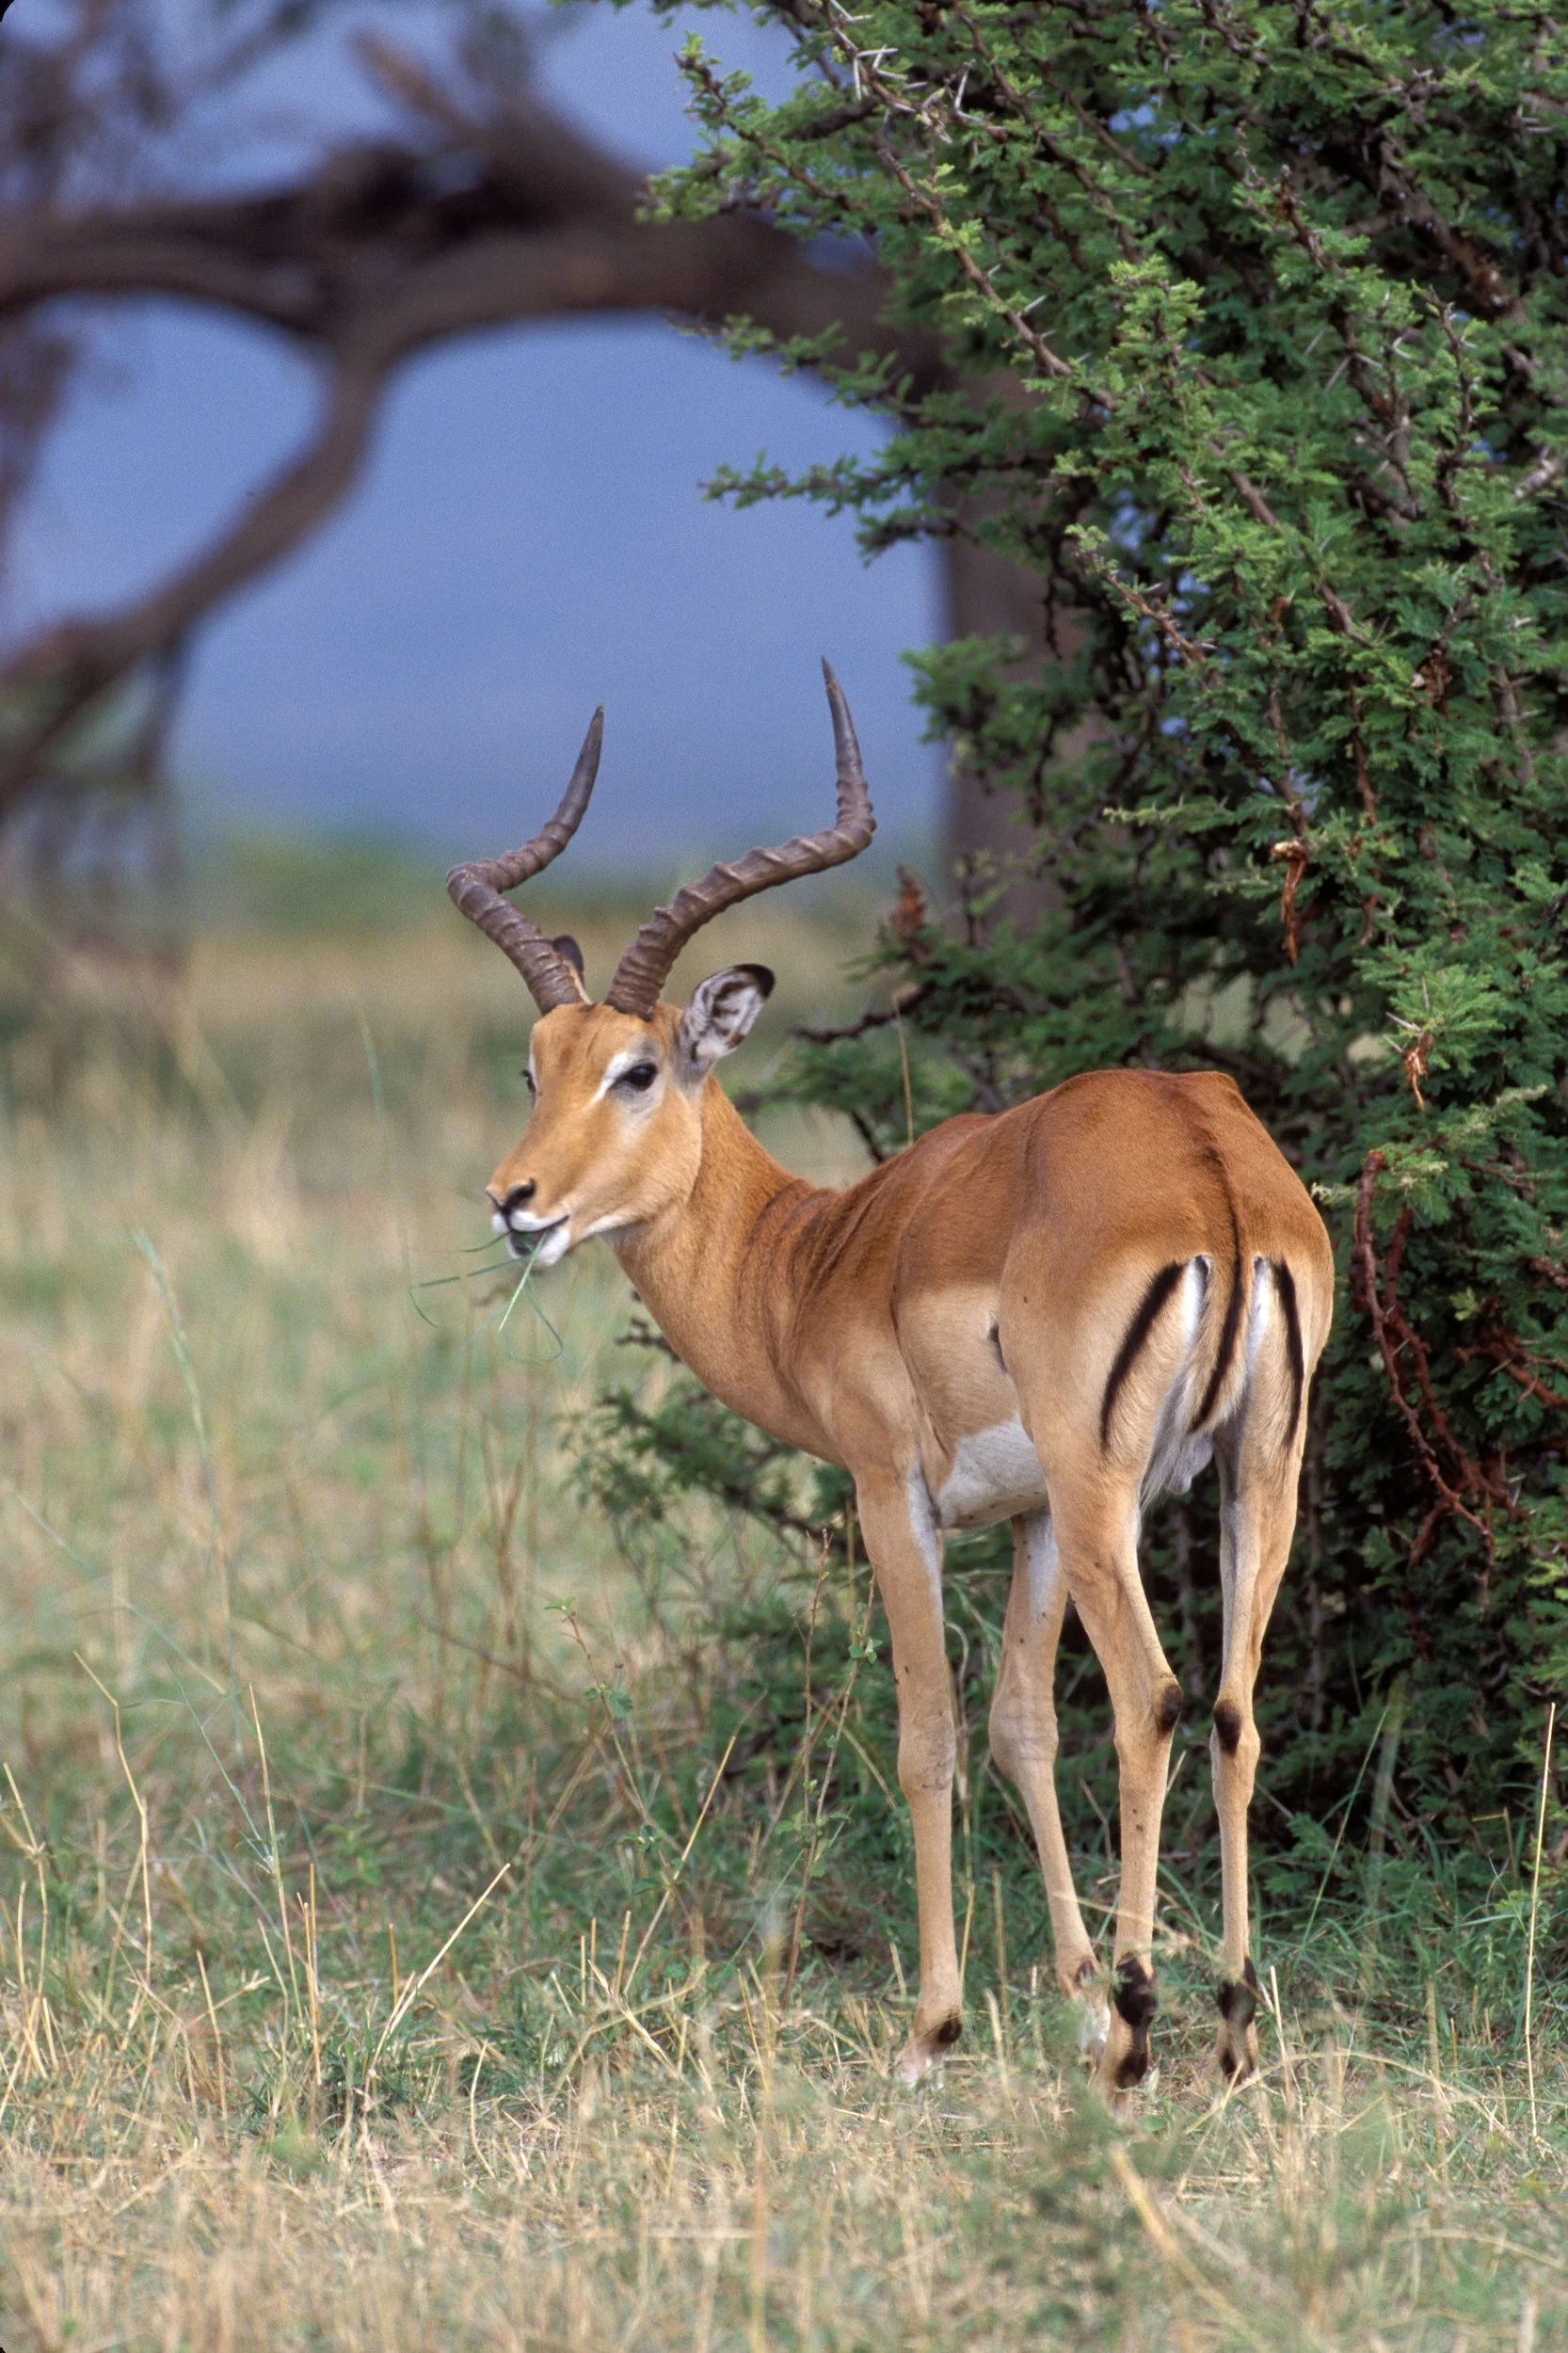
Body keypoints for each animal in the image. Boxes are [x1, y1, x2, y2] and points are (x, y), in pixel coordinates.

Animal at [448, 665, 1334, 2093]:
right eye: (535, 1067)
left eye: (636, 1070)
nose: (515, 1203)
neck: (813, 1256)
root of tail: (1212, 1168)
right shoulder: (1029, 1516)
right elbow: (1019, 1727)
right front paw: (1073, 1993)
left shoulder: (890, 1495)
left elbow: (927, 1739)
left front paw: (934, 2028)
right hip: (1257, 1474)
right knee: (1234, 1711)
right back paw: (1231, 2030)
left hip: (1111, 1497)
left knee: (1150, 1700)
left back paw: (1140, 2038)